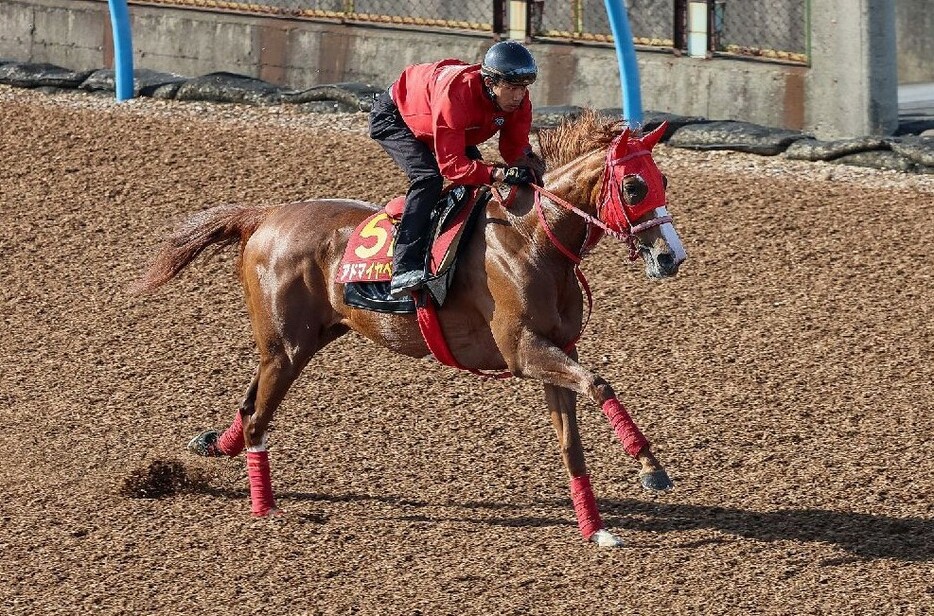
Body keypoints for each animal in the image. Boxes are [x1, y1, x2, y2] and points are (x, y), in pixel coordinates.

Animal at [132, 110, 688, 548]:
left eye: (662, 181)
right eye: (634, 186)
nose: (671, 258)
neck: (532, 238)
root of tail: (266, 215)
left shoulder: (554, 350)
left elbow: (572, 442)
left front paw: (596, 527)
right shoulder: (525, 351)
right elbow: (601, 383)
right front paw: (651, 470)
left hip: (305, 339)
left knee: (249, 406)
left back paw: (215, 446)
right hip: (287, 345)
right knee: (257, 420)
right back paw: (265, 507)